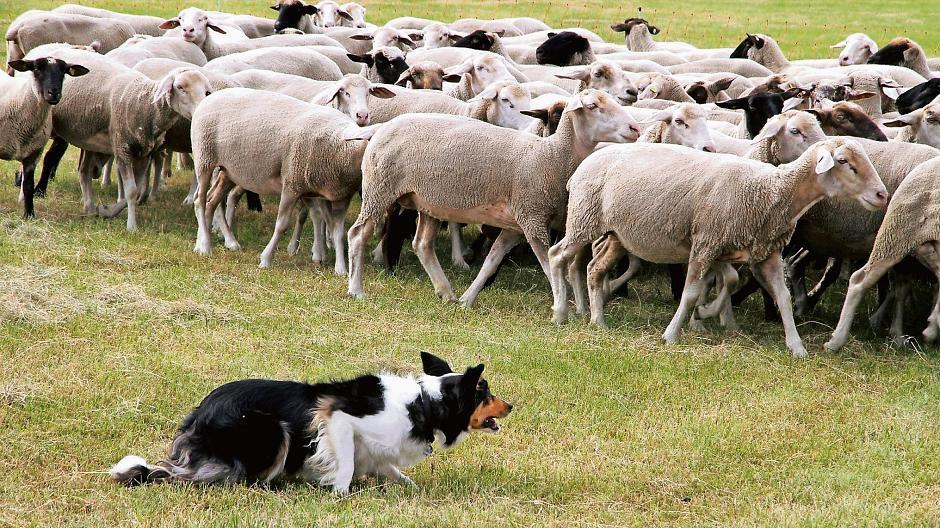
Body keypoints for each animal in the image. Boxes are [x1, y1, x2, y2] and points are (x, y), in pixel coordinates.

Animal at [108, 350, 516, 496]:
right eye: (485, 391)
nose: (512, 406)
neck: (424, 404)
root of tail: (197, 417)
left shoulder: (376, 449)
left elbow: (393, 471)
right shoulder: (336, 418)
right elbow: (347, 465)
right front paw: (340, 494)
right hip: (273, 430)